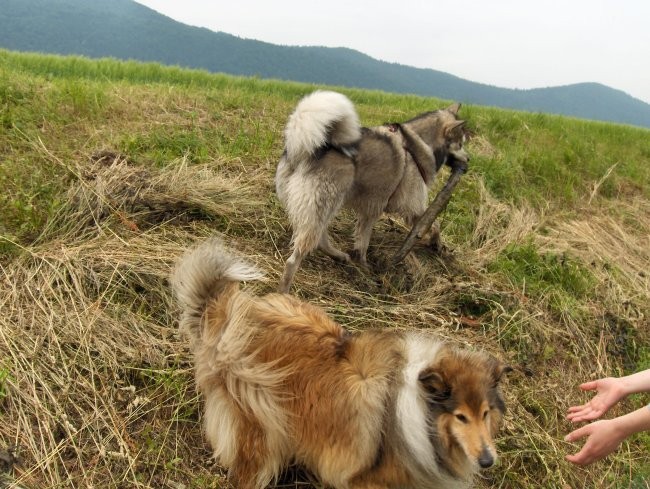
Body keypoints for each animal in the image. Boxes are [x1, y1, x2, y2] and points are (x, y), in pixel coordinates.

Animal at [274, 90, 466, 292]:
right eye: (461, 144)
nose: (468, 161)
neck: (418, 143)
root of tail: (301, 149)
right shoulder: (408, 207)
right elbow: (434, 225)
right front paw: (436, 244)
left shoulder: (370, 210)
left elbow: (362, 239)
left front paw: (361, 263)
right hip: (322, 205)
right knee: (294, 260)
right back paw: (284, 291)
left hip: (322, 208)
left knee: (320, 239)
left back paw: (338, 256)